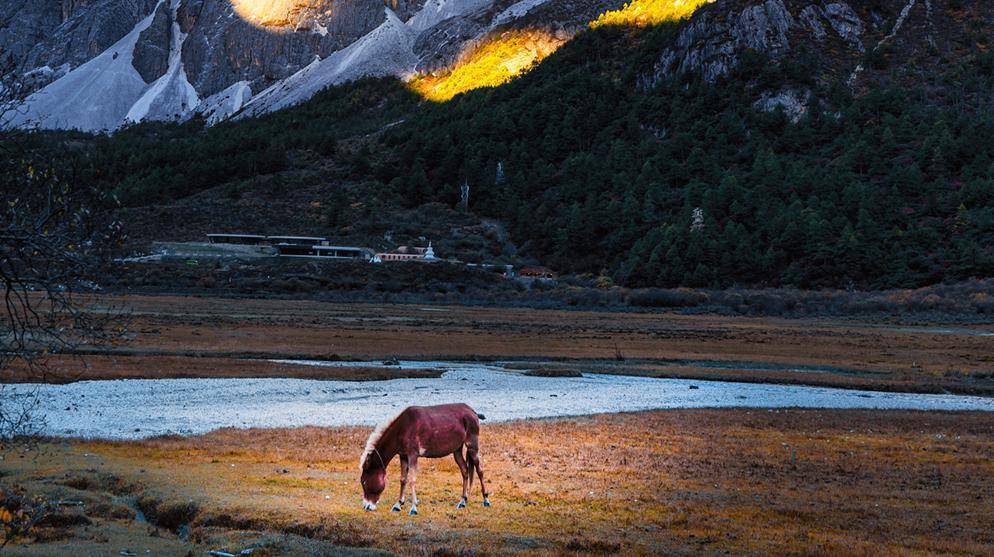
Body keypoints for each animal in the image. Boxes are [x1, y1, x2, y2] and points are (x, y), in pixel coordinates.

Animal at [359, 403, 491, 515]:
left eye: (364, 481)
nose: (366, 506)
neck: (403, 428)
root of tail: (472, 411)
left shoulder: (413, 455)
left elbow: (412, 480)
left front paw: (413, 508)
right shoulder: (403, 456)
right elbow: (403, 479)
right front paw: (398, 504)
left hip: (472, 446)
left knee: (480, 470)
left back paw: (486, 499)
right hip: (457, 450)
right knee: (465, 471)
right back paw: (463, 501)